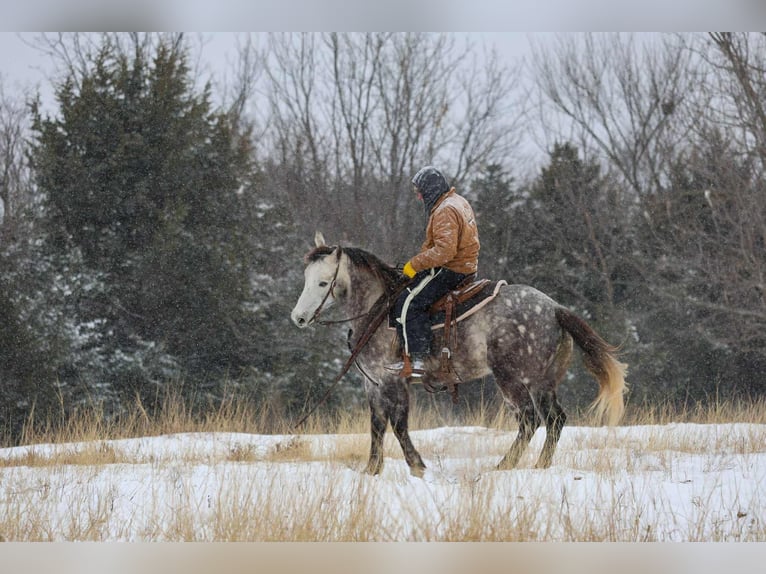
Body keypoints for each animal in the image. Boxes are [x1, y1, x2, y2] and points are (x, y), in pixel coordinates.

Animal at [290, 232, 628, 477]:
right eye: (306, 279)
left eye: (323, 282)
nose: (299, 318)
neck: (378, 310)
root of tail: (555, 308)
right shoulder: (372, 384)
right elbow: (377, 424)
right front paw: (371, 470)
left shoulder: (393, 381)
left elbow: (398, 424)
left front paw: (417, 466)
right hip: (542, 381)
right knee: (555, 420)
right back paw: (538, 465)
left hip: (513, 378)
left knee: (531, 420)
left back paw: (505, 466)